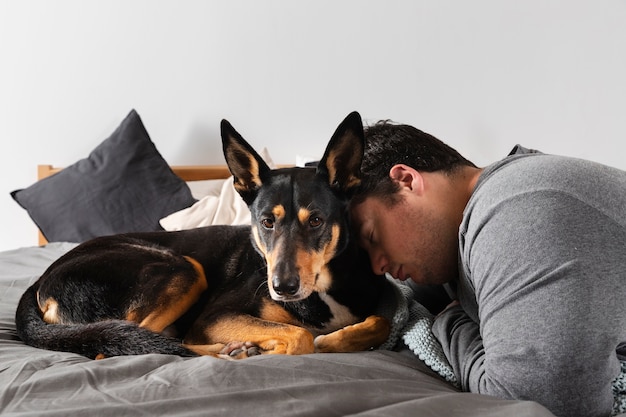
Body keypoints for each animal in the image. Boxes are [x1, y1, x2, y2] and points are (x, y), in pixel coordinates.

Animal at [14, 112, 390, 360]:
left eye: (315, 221)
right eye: (267, 222)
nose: (282, 288)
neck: (323, 288)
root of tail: (40, 282)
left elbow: (381, 321)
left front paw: (337, 339)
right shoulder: (215, 316)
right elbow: (301, 337)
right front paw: (281, 347)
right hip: (182, 268)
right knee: (126, 344)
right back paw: (234, 350)